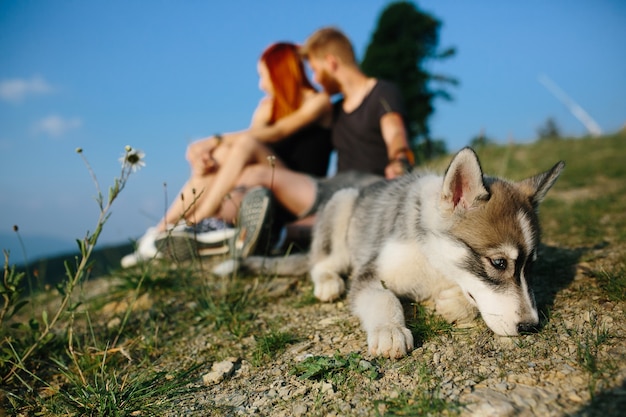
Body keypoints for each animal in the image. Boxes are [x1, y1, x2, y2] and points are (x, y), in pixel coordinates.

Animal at [217, 147, 564, 358]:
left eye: (531, 267)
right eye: (498, 262)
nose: (531, 326)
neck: (432, 260)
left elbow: (464, 298)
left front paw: (451, 303)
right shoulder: (370, 272)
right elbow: (383, 298)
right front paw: (390, 330)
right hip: (342, 206)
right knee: (320, 262)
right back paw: (328, 282)